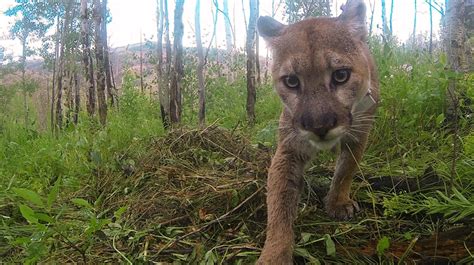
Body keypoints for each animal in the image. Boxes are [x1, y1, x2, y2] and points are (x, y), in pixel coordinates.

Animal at [258, 0, 380, 262]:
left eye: (341, 75)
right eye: (291, 81)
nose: (319, 126)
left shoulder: (359, 134)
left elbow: (345, 169)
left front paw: (338, 203)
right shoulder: (290, 148)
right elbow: (279, 202)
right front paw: (274, 255)